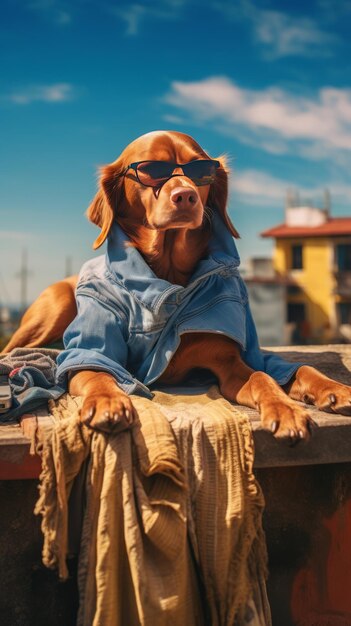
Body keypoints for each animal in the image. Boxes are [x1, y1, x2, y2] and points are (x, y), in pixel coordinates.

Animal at [3, 130, 351, 438]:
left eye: (201, 169)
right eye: (150, 170)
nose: (185, 195)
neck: (168, 279)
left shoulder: (231, 362)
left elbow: (271, 375)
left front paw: (299, 403)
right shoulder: (88, 352)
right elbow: (96, 373)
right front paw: (107, 401)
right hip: (56, 305)